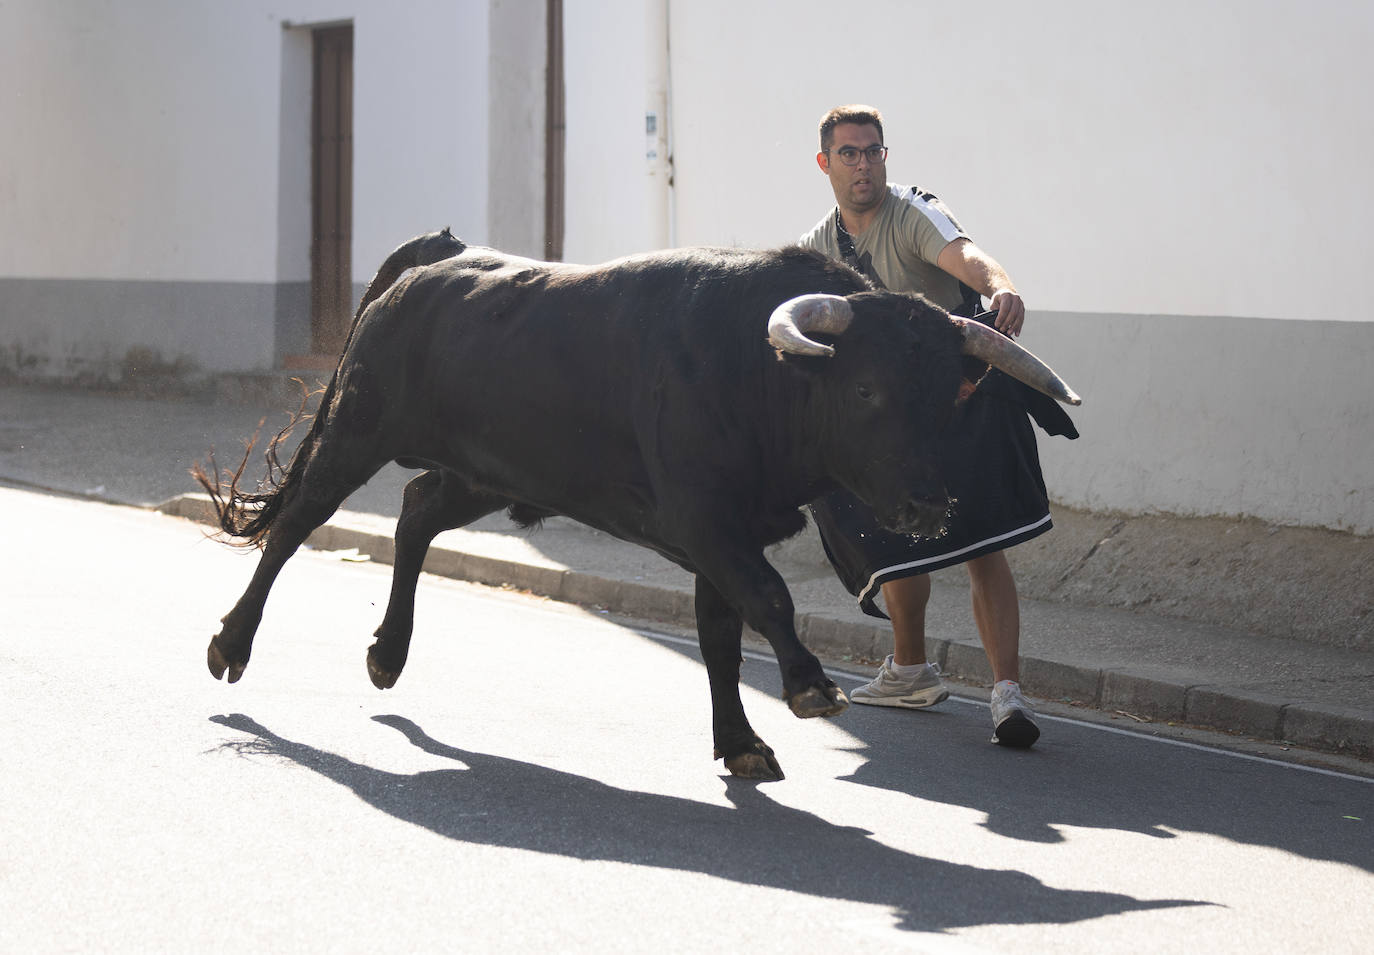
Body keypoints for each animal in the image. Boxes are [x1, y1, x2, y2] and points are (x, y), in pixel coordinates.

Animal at [199, 234, 1077, 780]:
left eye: (953, 392)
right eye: (866, 389)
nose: (931, 502)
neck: (756, 368)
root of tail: (438, 257)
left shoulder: (724, 537)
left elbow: (722, 635)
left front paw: (741, 743)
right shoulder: (706, 521)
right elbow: (770, 599)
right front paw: (807, 686)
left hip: (488, 471)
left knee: (414, 509)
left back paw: (387, 654)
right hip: (358, 428)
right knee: (295, 524)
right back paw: (230, 645)